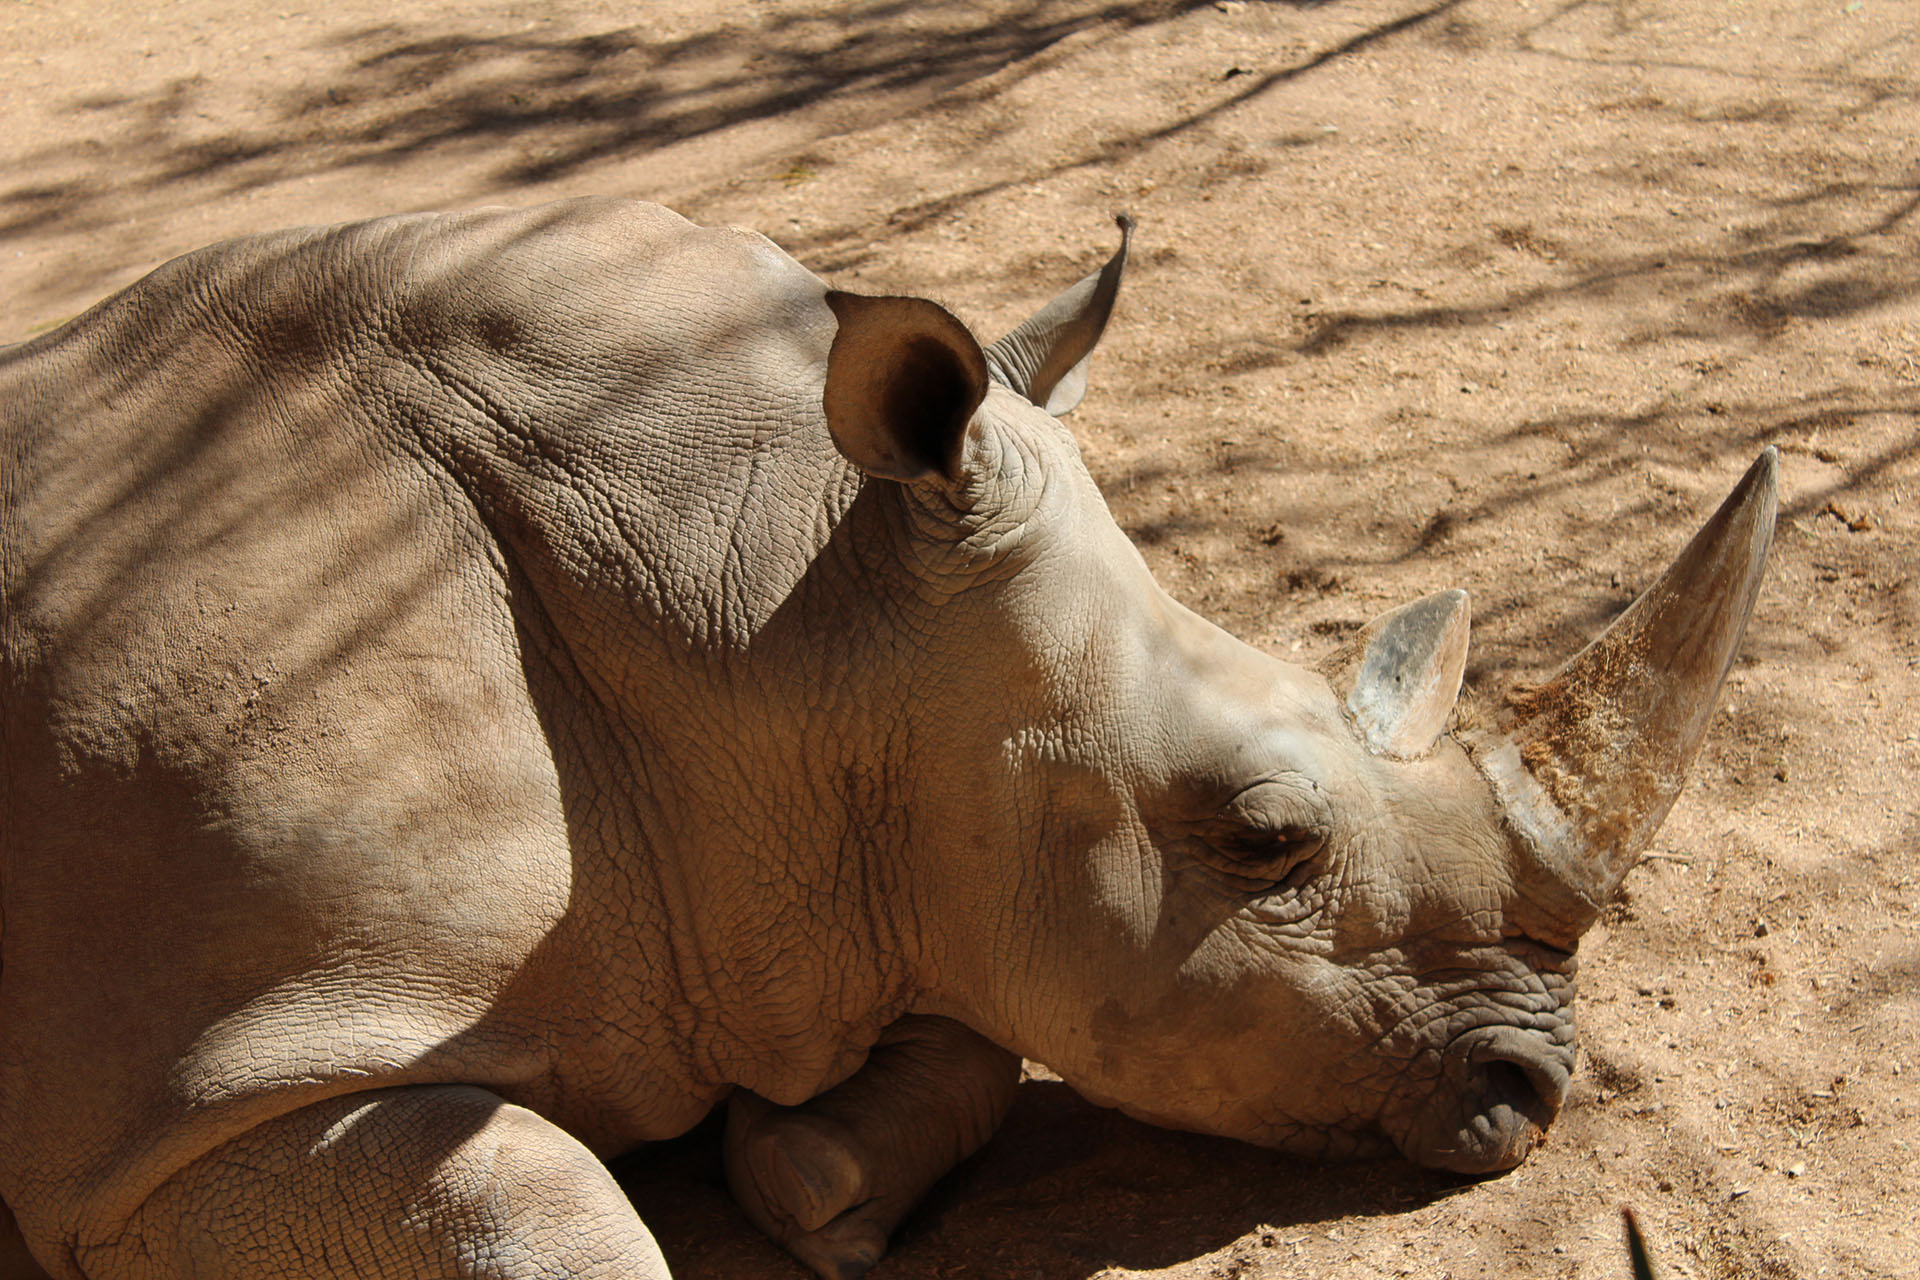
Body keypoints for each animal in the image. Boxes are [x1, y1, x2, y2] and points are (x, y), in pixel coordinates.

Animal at [0, 197, 1766, 1280]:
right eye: (1267, 840)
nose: (1536, 1089)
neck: (769, 620)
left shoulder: (874, 865)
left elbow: (971, 1036)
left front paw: (805, 1181)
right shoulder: (178, 1120)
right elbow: (547, 1214)